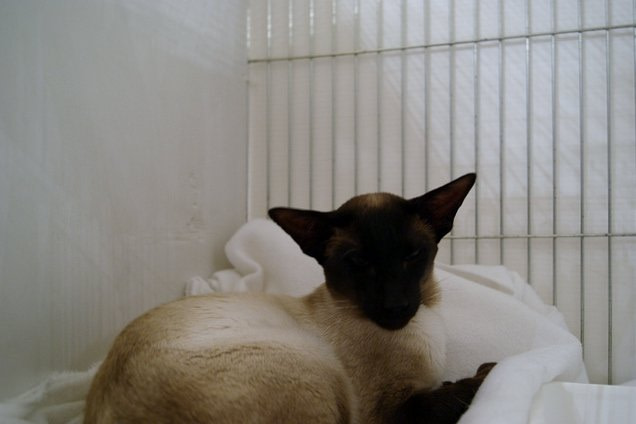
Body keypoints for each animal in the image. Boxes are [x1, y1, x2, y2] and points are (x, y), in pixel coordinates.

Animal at [84, 173, 494, 424]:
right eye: (358, 263)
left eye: (412, 256)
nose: (395, 306)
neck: (425, 325)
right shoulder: (390, 411)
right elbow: (465, 388)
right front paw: (483, 371)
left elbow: (451, 387)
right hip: (309, 364)